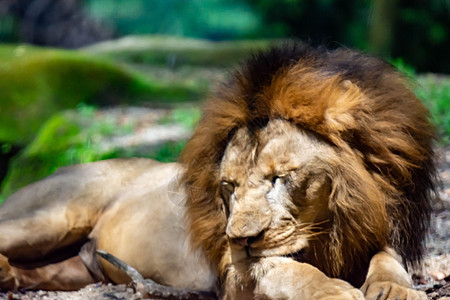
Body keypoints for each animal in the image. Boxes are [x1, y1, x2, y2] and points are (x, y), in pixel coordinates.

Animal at [0, 42, 436, 300]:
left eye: (279, 177)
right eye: (228, 185)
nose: (239, 238)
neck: (328, 229)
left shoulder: (375, 229)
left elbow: (388, 258)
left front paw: (393, 289)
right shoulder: (234, 272)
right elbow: (286, 269)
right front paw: (331, 291)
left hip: (69, 268)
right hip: (49, 217)